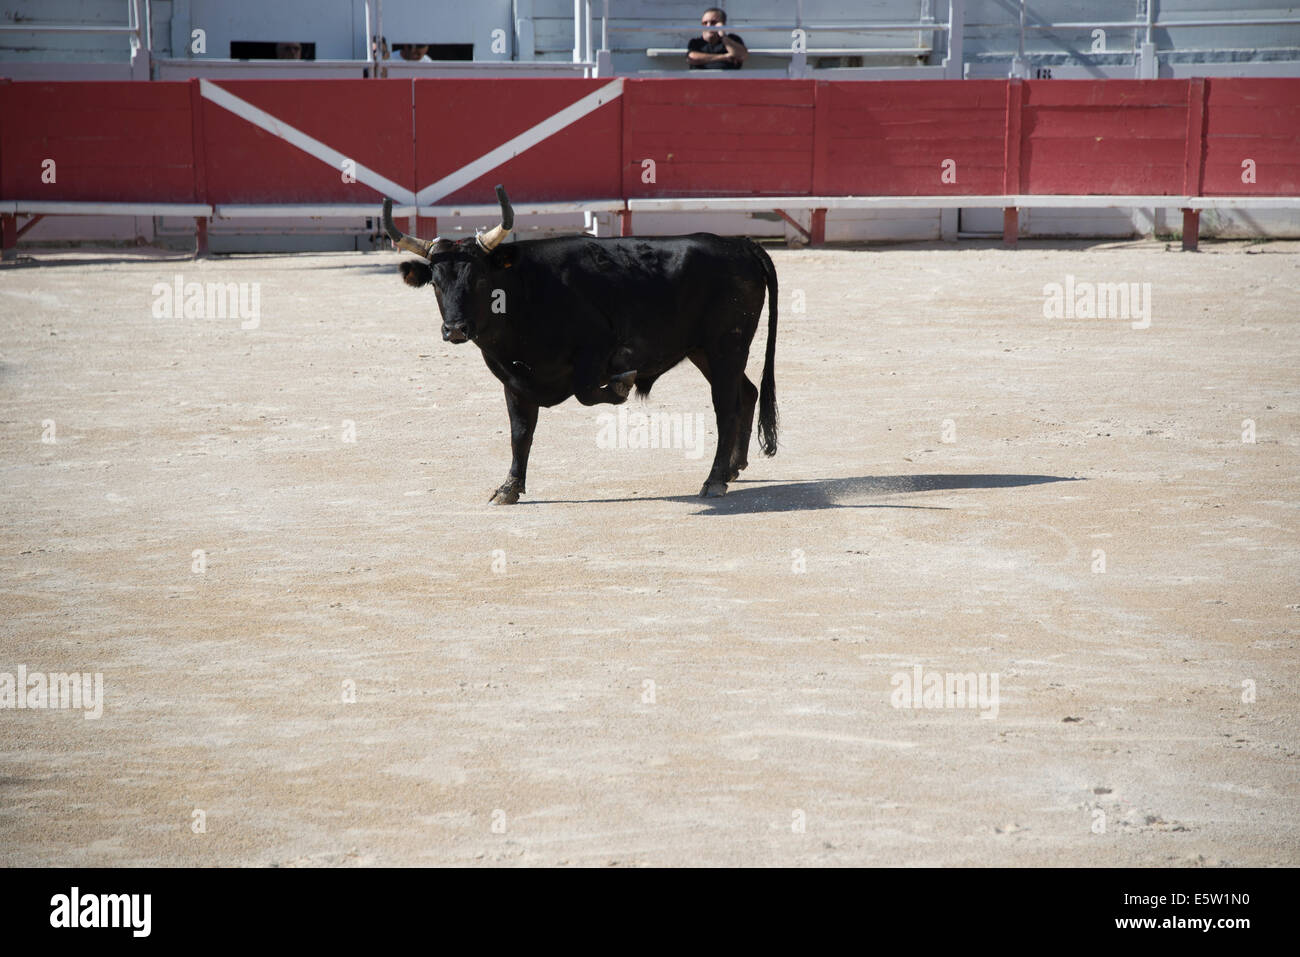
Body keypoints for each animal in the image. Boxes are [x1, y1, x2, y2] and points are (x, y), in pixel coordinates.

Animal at [382, 185, 778, 503]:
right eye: (436, 283)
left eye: (479, 278)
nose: (455, 329)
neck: (527, 292)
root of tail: (740, 244)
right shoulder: (513, 380)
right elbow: (520, 431)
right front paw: (509, 487)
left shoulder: (595, 352)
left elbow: (587, 393)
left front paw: (622, 385)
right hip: (705, 353)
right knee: (746, 393)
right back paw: (732, 468)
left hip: (725, 347)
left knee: (726, 406)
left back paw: (714, 480)